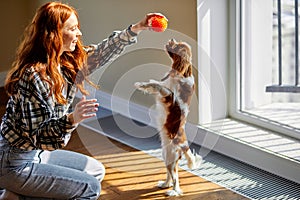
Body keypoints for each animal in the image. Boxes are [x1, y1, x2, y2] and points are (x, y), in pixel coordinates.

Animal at [135, 38, 203, 196]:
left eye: (177, 46)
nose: (171, 39)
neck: (182, 74)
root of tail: (184, 145)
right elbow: (155, 84)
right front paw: (143, 85)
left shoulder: (170, 95)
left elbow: (157, 85)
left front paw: (141, 84)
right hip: (166, 156)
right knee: (171, 175)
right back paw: (165, 184)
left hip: (171, 156)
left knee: (176, 179)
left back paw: (174, 192)